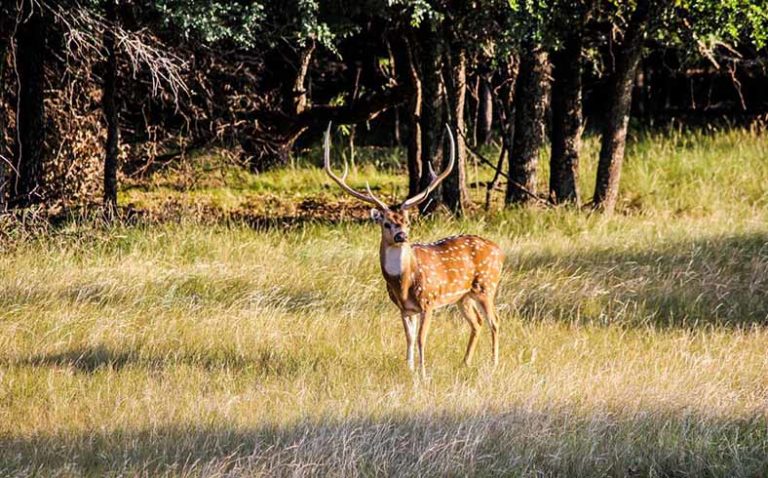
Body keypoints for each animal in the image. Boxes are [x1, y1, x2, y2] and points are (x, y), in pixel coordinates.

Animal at [322, 122, 504, 378]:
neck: (404, 283)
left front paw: (423, 372)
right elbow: (408, 338)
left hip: (487, 285)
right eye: (386, 223)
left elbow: (421, 339)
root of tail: (499, 250)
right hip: (463, 296)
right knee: (477, 322)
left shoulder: (428, 300)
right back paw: (465, 362)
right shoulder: (404, 308)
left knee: (495, 321)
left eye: (407, 221)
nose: (402, 235)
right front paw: (408, 369)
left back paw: (494, 363)